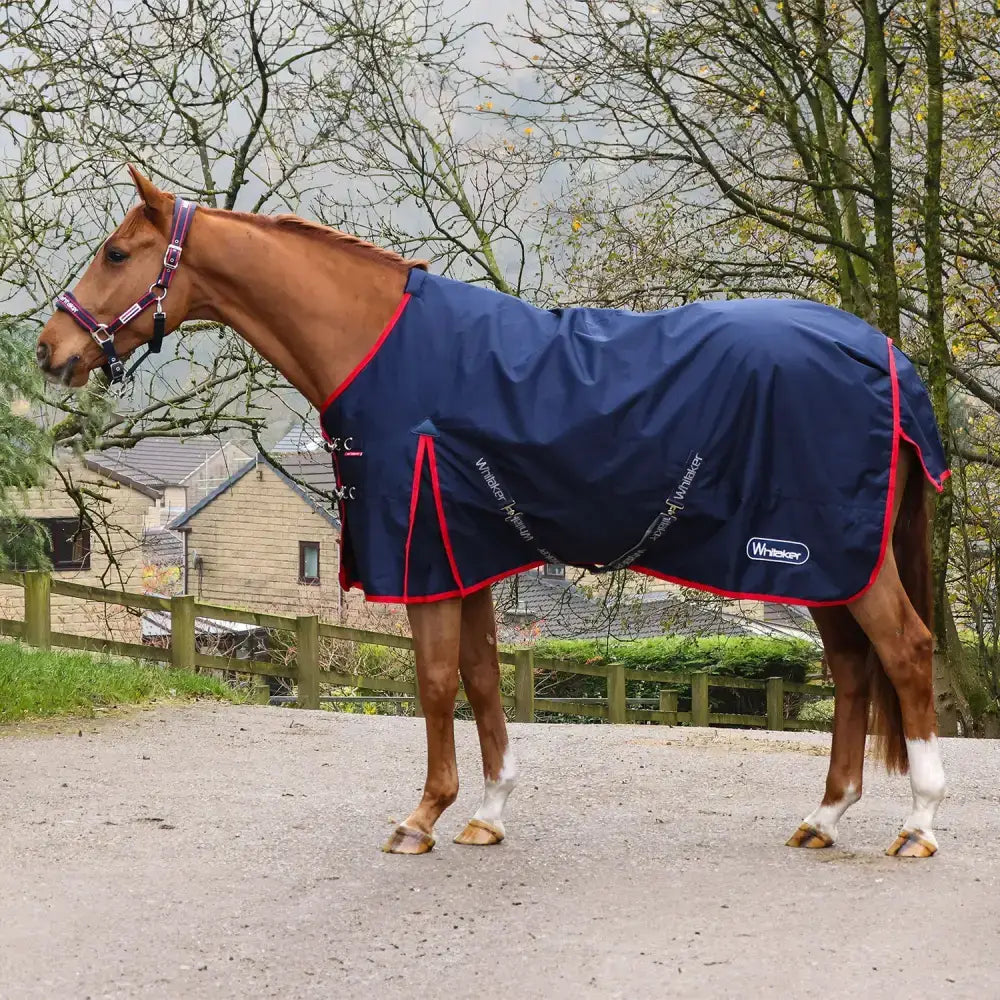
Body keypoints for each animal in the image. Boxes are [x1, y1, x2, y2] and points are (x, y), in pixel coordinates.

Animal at [37, 166, 948, 859]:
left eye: (117, 252)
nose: (51, 350)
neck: (380, 346)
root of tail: (886, 356)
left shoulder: (425, 555)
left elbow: (437, 683)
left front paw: (422, 818)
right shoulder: (465, 552)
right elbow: (480, 678)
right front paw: (488, 811)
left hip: (827, 555)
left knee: (905, 653)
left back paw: (920, 824)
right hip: (823, 563)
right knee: (853, 669)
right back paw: (824, 817)